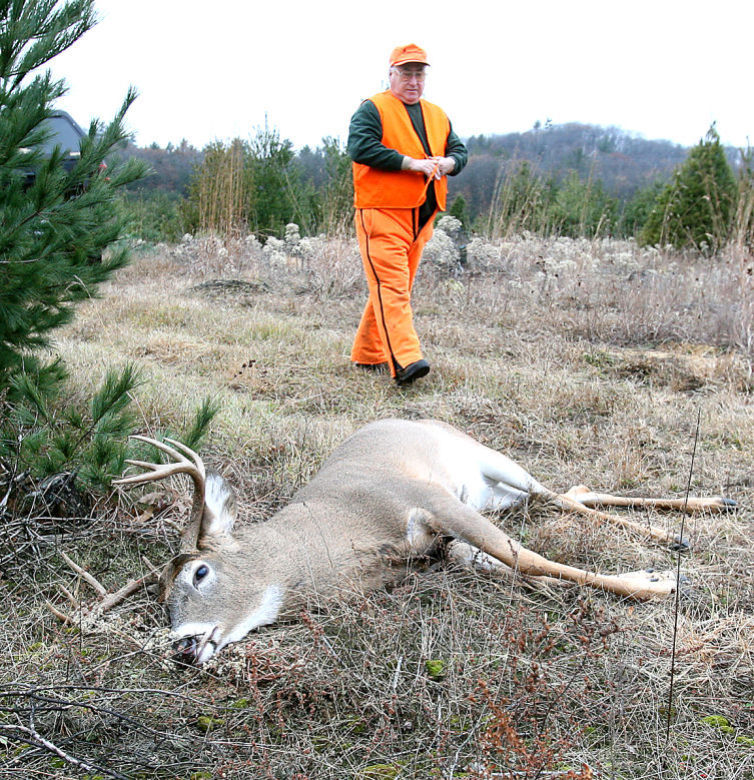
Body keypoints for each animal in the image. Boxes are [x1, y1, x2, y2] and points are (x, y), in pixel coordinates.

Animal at [80, 418, 734, 665]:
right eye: (157, 600)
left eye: (199, 573)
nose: (181, 647)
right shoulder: (439, 544)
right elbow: (507, 562)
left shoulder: (430, 501)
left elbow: (525, 555)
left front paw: (653, 582)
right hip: (494, 494)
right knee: (567, 493)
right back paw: (691, 519)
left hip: (492, 465)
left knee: (556, 493)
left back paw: (685, 528)